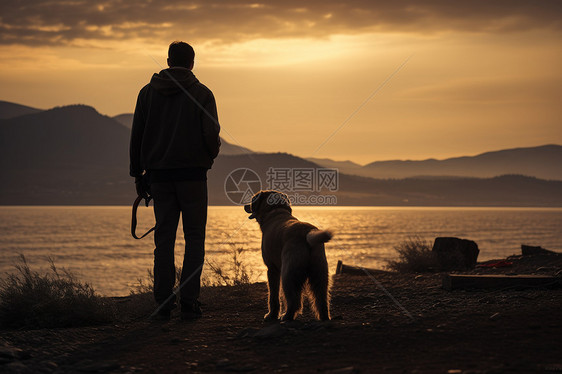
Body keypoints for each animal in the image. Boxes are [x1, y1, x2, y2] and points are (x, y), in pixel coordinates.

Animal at [243, 190, 330, 322]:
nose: (245, 206)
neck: (275, 210)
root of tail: (307, 233)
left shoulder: (272, 268)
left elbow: (273, 295)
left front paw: (271, 315)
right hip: (320, 272)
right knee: (321, 298)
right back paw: (324, 317)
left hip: (288, 273)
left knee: (294, 300)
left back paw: (286, 316)